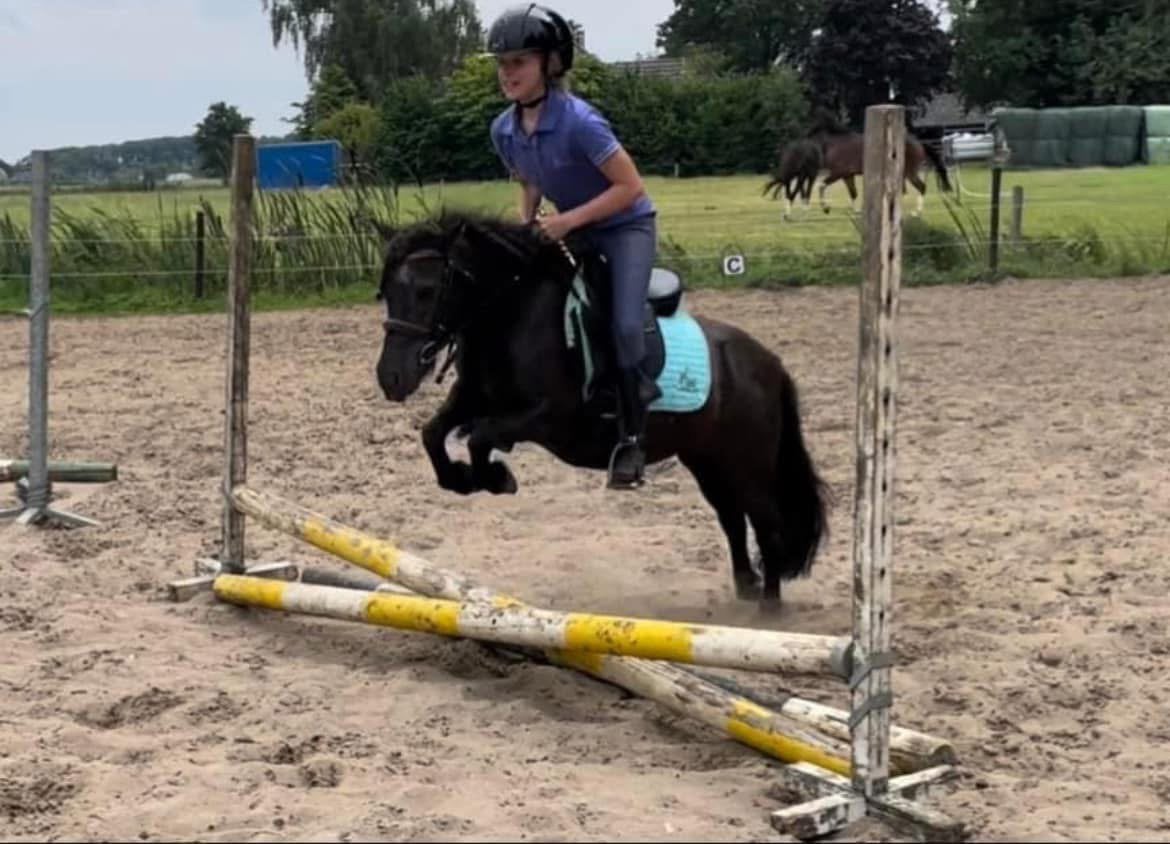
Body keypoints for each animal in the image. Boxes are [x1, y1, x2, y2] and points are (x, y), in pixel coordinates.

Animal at [372, 210, 832, 613]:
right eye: (386, 292)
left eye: (426, 291)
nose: (390, 378)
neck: (512, 316)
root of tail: (768, 362)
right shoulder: (471, 398)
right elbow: (433, 434)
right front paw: (461, 478)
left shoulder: (549, 419)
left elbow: (482, 437)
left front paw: (496, 478)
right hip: (706, 458)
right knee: (732, 518)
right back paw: (747, 586)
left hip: (747, 462)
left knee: (766, 522)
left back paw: (770, 606)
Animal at [805, 108, 952, 215]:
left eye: (814, 123)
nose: (805, 135)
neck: (838, 143)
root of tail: (918, 142)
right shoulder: (847, 175)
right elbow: (853, 192)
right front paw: (855, 211)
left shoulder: (838, 172)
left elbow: (821, 185)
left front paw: (826, 208)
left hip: (910, 172)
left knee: (921, 187)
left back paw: (916, 212)